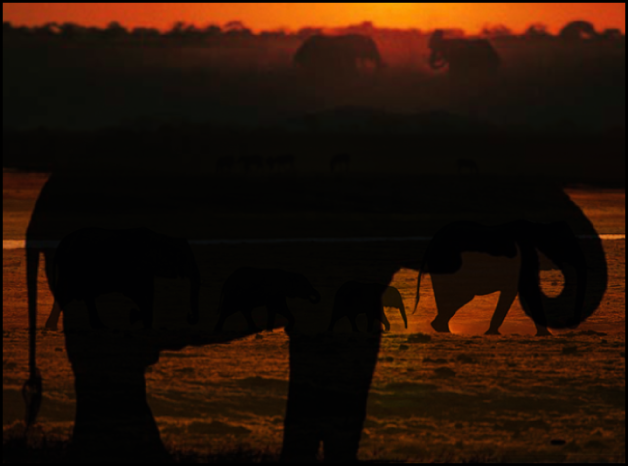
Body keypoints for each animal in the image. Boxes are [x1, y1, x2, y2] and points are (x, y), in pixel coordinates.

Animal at [50, 227, 200, 330]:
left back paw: (101, 327)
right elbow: (134, 293)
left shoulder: (147, 270)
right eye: (184, 259)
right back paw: (52, 328)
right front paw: (134, 317)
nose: (189, 316)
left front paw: (144, 324)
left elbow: (148, 293)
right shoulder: (135, 268)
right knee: (65, 295)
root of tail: (62, 245)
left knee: (85, 297)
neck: (162, 238)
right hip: (73, 269)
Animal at [414, 220, 588, 336]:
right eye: (566, 247)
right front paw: (546, 335)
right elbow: (529, 291)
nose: (570, 325)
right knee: (465, 295)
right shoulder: (526, 258)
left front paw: (492, 333)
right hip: (447, 262)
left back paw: (441, 328)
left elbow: (511, 293)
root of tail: (433, 241)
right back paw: (441, 328)